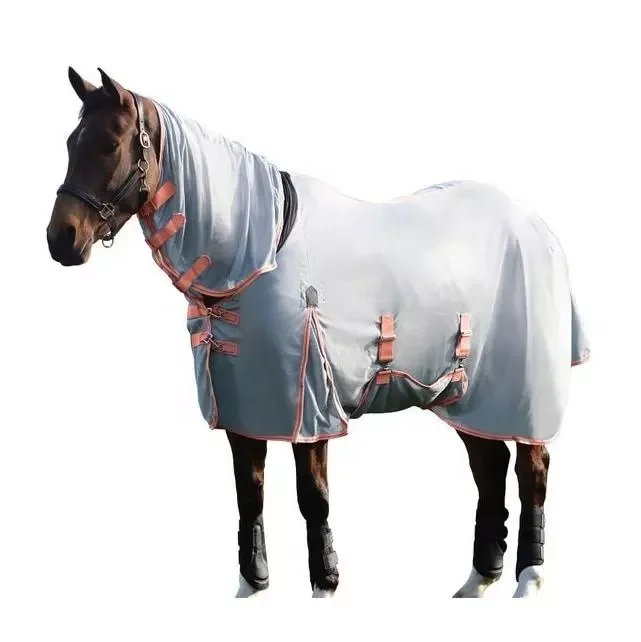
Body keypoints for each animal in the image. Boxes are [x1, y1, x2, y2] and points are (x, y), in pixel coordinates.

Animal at [47, 68, 590, 598]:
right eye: (72, 142)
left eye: (110, 144)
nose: (61, 239)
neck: (260, 250)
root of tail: (539, 228)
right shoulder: (246, 411)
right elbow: (250, 495)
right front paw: (254, 584)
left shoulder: (309, 408)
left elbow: (314, 499)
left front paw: (324, 583)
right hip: (466, 397)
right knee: (490, 466)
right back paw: (479, 579)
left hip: (519, 394)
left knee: (532, 469)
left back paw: (529, 577)